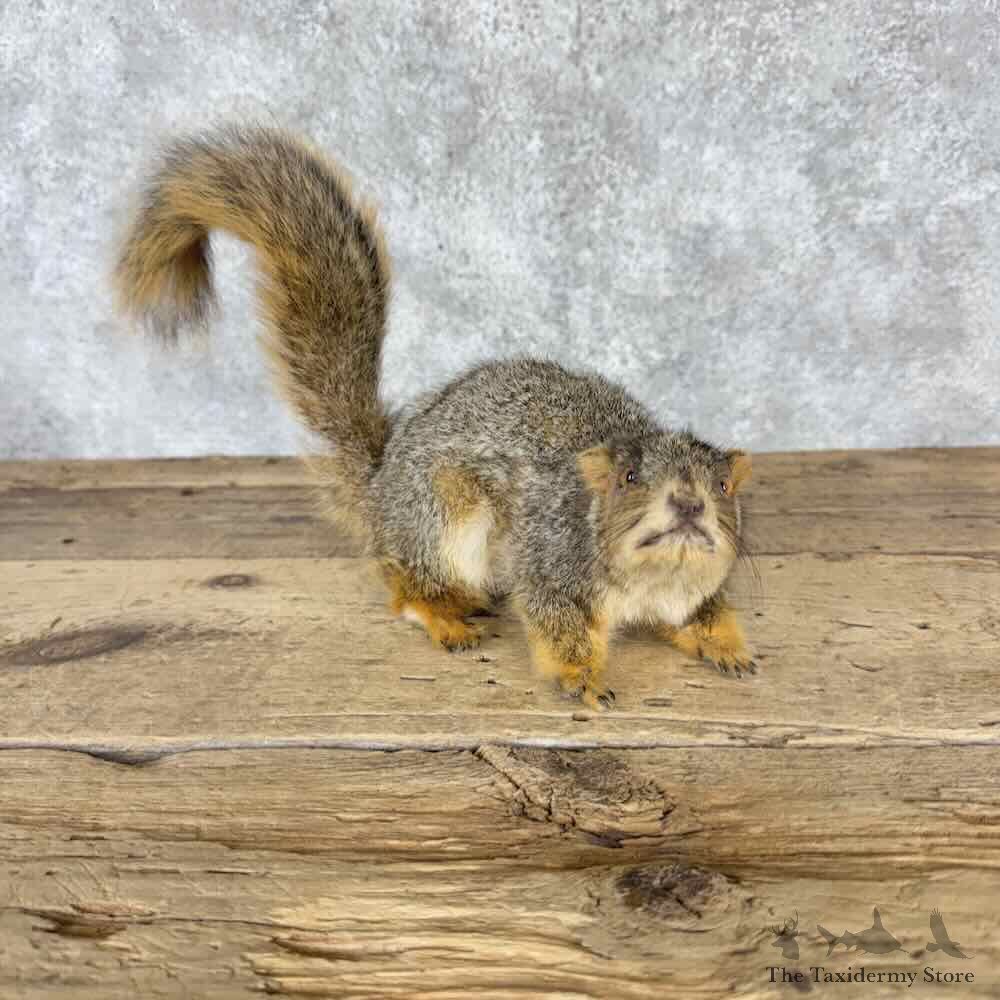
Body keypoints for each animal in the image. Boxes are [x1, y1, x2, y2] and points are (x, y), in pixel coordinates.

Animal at [113, 125, 756, 710]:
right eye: (629, 478)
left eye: (724, 486)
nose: (690, 503)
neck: (655, 578)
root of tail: (380, 489)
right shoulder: (551, 567)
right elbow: (558, 629)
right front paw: (581, 679)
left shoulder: (691, 592)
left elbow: (703, 615)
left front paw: (728, 646)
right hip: (442, 518)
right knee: (407, 588)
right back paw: (445, 616)